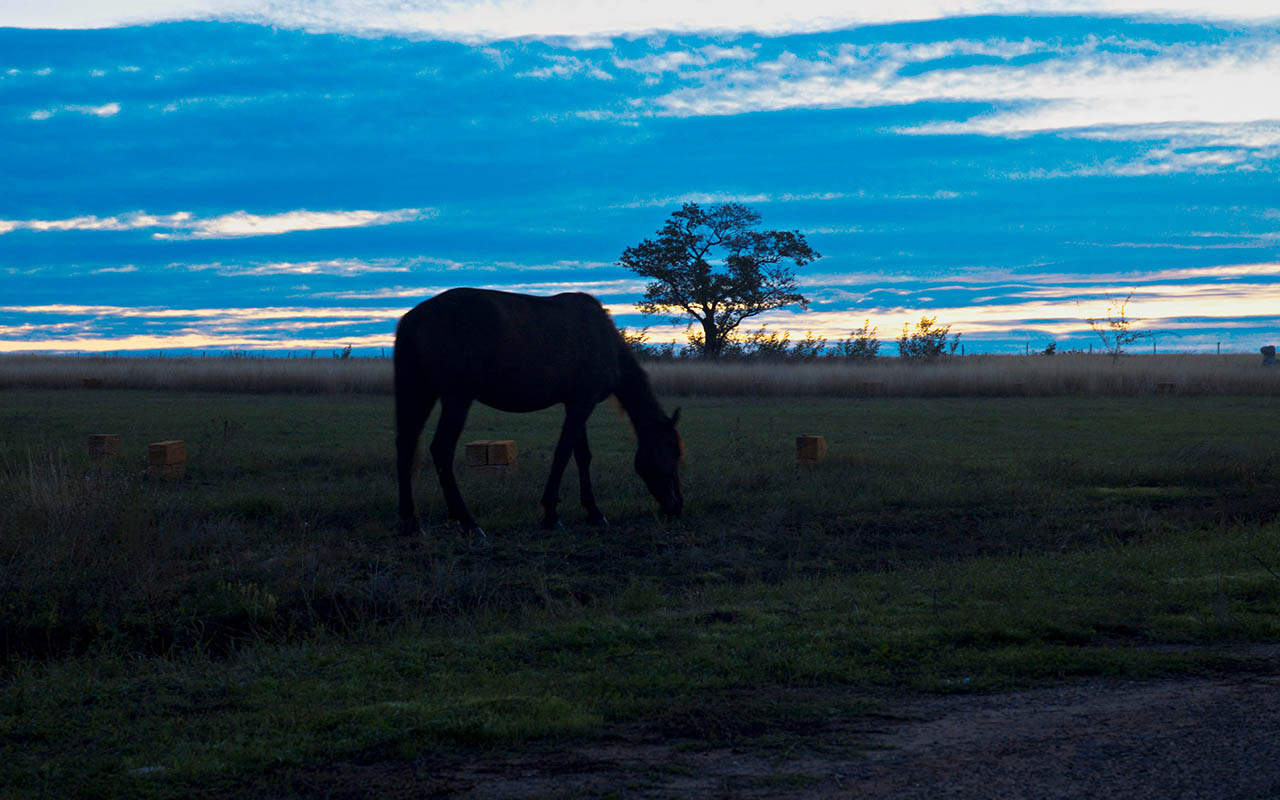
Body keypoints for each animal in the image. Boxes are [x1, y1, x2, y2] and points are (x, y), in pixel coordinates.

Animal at [394, 287, 683, 538]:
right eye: (673, 451)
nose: (676, 507)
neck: (605, 340)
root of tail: (415, 317)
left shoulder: (576, 404)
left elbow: (582, 456)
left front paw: (593, 512)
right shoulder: (582, 404)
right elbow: (564, 453)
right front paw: (551, 515)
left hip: (419, 394)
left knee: (406, 447)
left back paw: (410, 523)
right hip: (457, 398)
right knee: (441, 449)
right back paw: (468, 523)